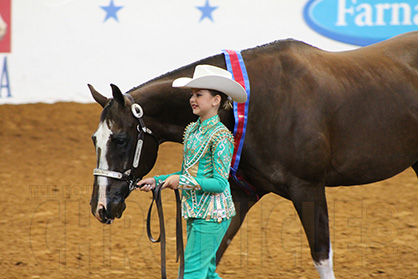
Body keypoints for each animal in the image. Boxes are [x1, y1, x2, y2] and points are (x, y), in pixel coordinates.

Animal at [88, 31, 418, 278]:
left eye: (120, 139)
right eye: (94, 139)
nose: (100, 206)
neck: (251, 103)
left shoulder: (308, 188)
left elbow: (322, 256)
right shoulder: (240, 195)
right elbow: (204, 259)